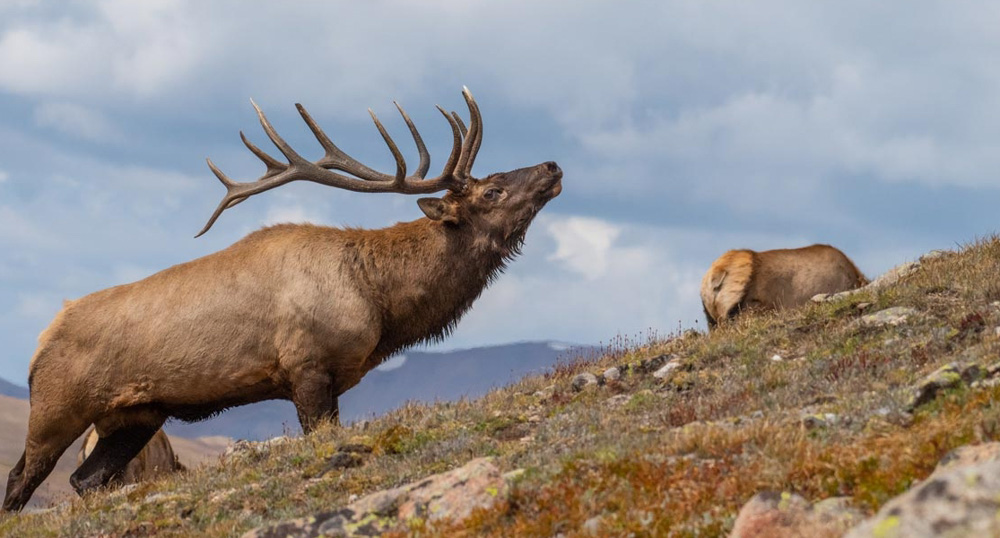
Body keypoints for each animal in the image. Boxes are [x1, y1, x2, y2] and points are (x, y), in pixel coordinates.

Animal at [3, 88, 563, 512]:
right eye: (491, 191)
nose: (553, 166)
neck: (379, 302)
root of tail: (40, 341)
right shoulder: (307, 367)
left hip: (135, 416)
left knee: (86, 479)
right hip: (56, 407)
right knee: (19, 481)